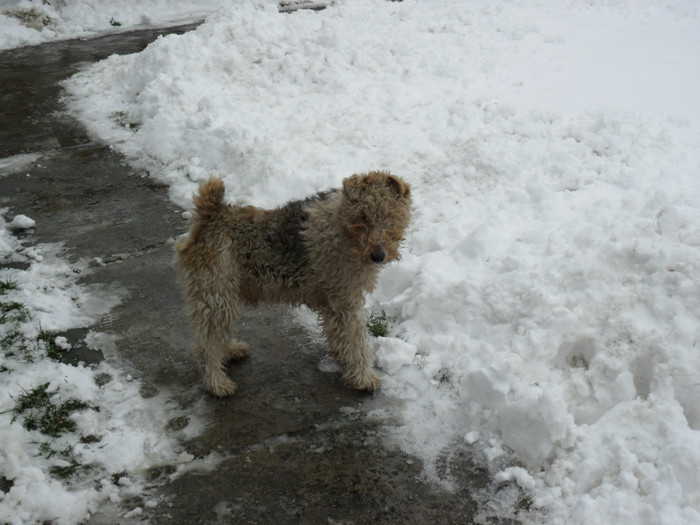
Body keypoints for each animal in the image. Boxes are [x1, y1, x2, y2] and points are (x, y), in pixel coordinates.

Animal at [175, 170, 412, 396]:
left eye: (390, 214)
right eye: (362, 215)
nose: (378, 255)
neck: (340, 228)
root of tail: (210, 215)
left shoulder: (335, 303)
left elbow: (340, 336)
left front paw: (343, 359)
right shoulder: (346, 302)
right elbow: (357, 342)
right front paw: (364, 378)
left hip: (220, 296)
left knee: (215, 337)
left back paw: (232, 349)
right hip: (215, 295)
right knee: (207, 346)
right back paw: (218, 384)